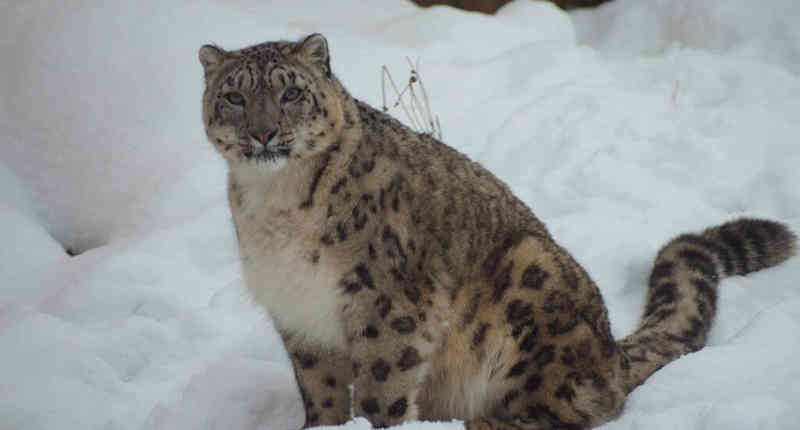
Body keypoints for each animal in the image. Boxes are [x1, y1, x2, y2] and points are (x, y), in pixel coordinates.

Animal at [198, 34, 796, 429]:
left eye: (290, 93)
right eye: (234, 96)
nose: (263, 132)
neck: (276, 207)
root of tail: (609, 351)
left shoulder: (387, 301)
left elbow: (382, 385)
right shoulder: (297, 310)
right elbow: (320, 388)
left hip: (531, 280)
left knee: (571, 408)